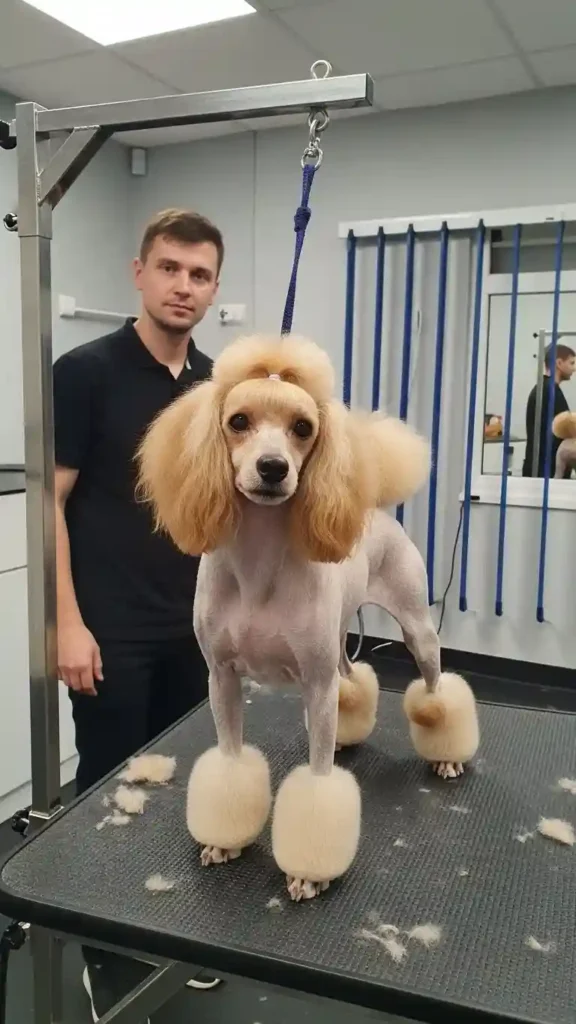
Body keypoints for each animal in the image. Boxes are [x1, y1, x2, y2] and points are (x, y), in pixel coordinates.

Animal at [137, 334, 479, 901]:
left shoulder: (316, 688)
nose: (273, 467)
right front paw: (224, 841)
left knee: (435, 687)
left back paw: (446, 752)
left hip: (417, 630)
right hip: (337, 642)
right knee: (352, 679)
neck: (259, 567)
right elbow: (231, 760)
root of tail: (375, 512)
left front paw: (308, 871)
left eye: (302, 427)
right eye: (238, 421)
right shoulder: (222, 677)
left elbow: (319, 783)